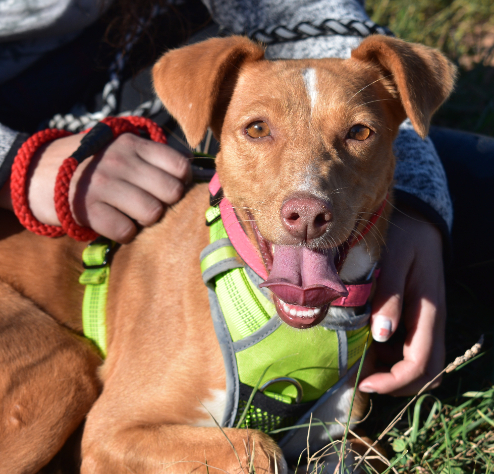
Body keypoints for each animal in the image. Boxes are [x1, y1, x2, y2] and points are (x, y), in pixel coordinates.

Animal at [0, 35, 455, 473]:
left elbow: (362, 452)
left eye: (360, 133)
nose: (307, 214)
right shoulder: (109, 432)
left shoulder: (335, 433)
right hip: (64, 369)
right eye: (257, 128)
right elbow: (259, 450)